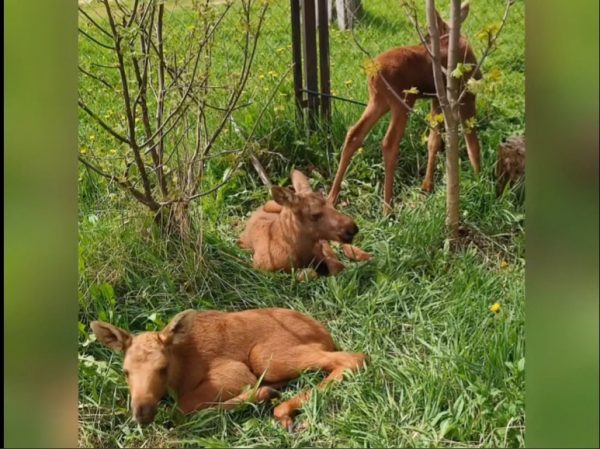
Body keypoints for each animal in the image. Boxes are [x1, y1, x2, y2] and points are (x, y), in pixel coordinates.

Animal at [90, 306, 366, 428]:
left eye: (163, 367)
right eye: (125, 371)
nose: (142, 412)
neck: (181, 372)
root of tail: (325, 334)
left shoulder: (234, 372)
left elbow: (180, 410)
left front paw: (260, 395)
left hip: (263, 356)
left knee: (354, 357)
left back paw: (282, 407)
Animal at [238, 169, 370, 276]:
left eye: (331, 205)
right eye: (314, 214)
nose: (353, 228)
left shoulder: (320, 247)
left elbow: (337, 266)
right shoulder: (262, 269)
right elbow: (311, 273)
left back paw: (364, 255)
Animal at [328, 1, 482, 214]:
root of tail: (372, 73)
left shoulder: (437, 100)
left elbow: (433, 140)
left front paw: (427, 185)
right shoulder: (465, 96)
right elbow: (472, 142)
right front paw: (480, 178)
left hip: (379, 101)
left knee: (354, 134)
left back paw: (331, 198)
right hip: (403, 102)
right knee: (389, 143)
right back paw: (387, 207)